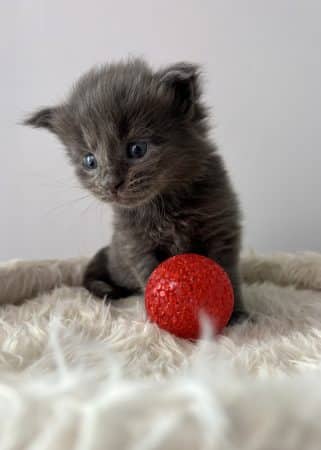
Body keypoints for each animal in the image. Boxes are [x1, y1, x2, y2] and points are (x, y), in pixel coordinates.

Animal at [25, 59, 245, 320]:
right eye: (89, 161)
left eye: (137, 149)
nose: (111, 183)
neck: (165, 204)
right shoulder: (135, 244)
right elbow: (151, 274)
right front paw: (162, 315)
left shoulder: (221, 228)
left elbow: (227, 273)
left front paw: (237, 316)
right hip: (107, 255)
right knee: (88, 276)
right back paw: (108, 289)